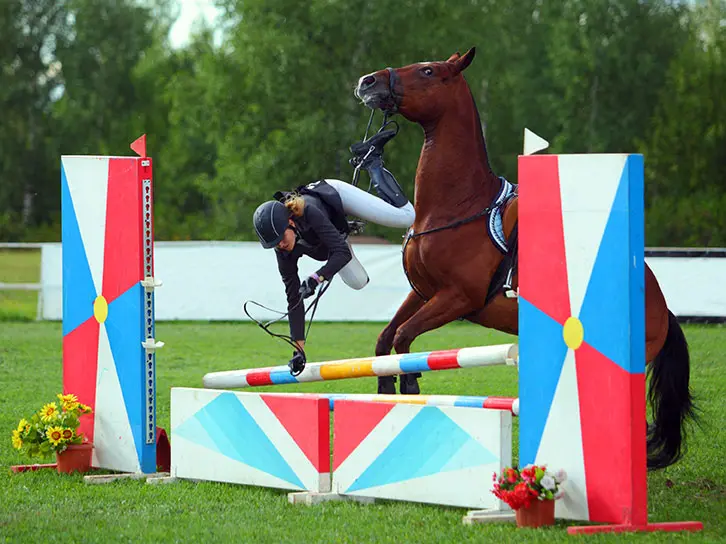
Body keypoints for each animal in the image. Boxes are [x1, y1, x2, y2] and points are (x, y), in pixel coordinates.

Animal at [353, 47, 697, 470]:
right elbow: (386, 338)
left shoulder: (457, 298)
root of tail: (663, 306)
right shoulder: (422, 292)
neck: (456, 205)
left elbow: (404, 337)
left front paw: (411, 383)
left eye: (428, 71)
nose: (367, 81)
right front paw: (387, 385)